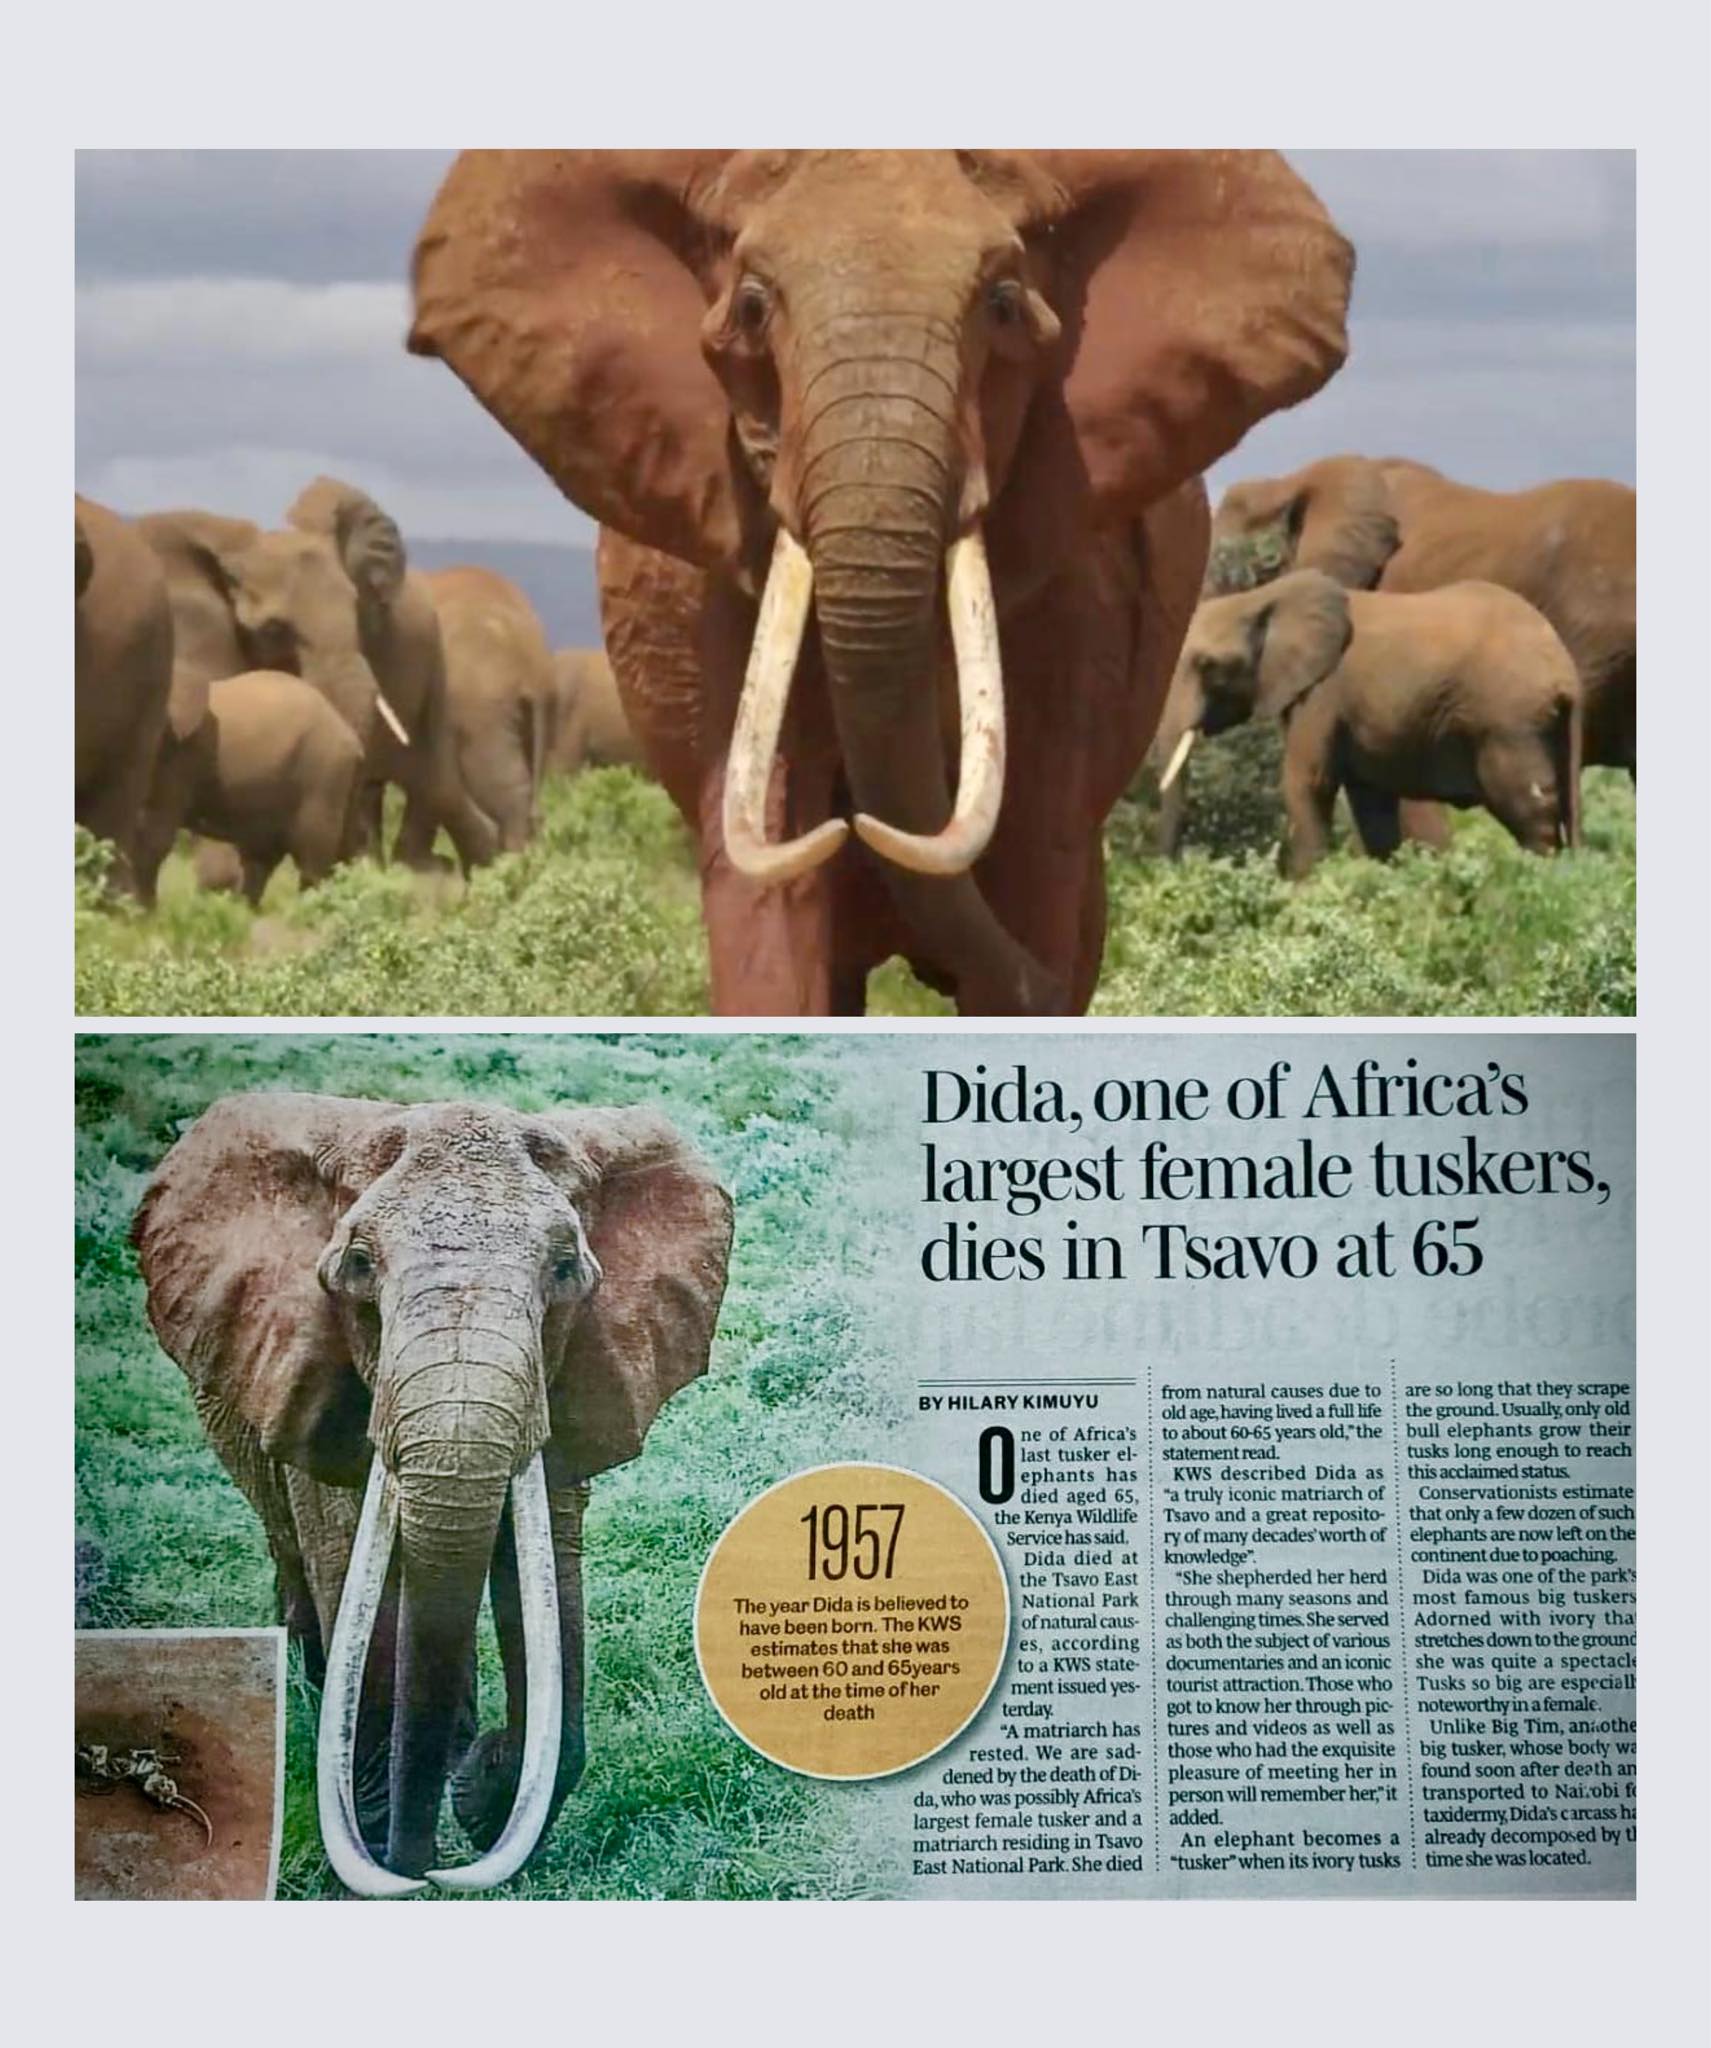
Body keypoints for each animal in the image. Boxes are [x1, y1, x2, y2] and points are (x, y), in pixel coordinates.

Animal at [132, 1092, 733, 1894]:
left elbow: (545, 1583)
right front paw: (393, 1846)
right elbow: (353, 1571)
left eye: (565, 1269)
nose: (425, 1877)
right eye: (357, 1266)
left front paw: (479, 1794)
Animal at [1158, 568, 1582, 878]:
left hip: (1511, 723)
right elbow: (1372, 807)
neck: (1261, 598)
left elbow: (1307, 783)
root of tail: (1566, 671)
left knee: (1530, 812)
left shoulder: (1323, 693)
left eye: (1207, 665)